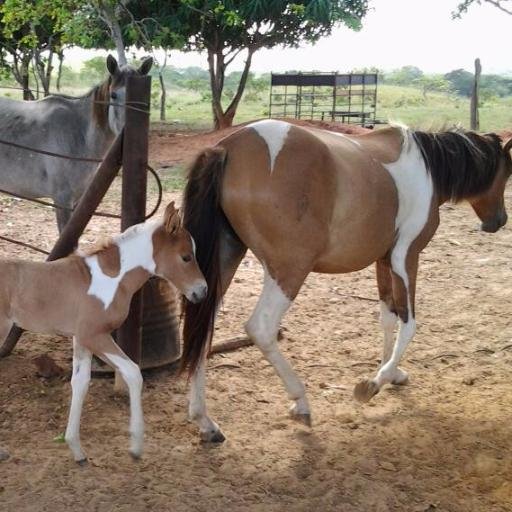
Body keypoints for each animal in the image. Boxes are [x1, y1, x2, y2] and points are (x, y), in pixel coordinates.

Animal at [1, 204, 206, 464]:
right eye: (186, 257)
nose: (202, 291)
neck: (111, 278)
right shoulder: (95, 335)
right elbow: (133, 372)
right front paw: (136, 445)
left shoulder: (81, 338)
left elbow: (80, 383)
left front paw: (76, 449)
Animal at [180, 119, 512, 440]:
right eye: (507, 173)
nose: (498, 221)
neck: (427, 167)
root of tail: (228, 148)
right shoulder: (406, 257)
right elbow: (409, 323)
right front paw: (374, 383)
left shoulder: (383, 261)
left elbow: (388, 317)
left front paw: (392, 373)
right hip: (289, 270)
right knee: (260, 328)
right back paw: (301, 402)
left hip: (223, 264)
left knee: (203, 326)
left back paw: (205, 422)